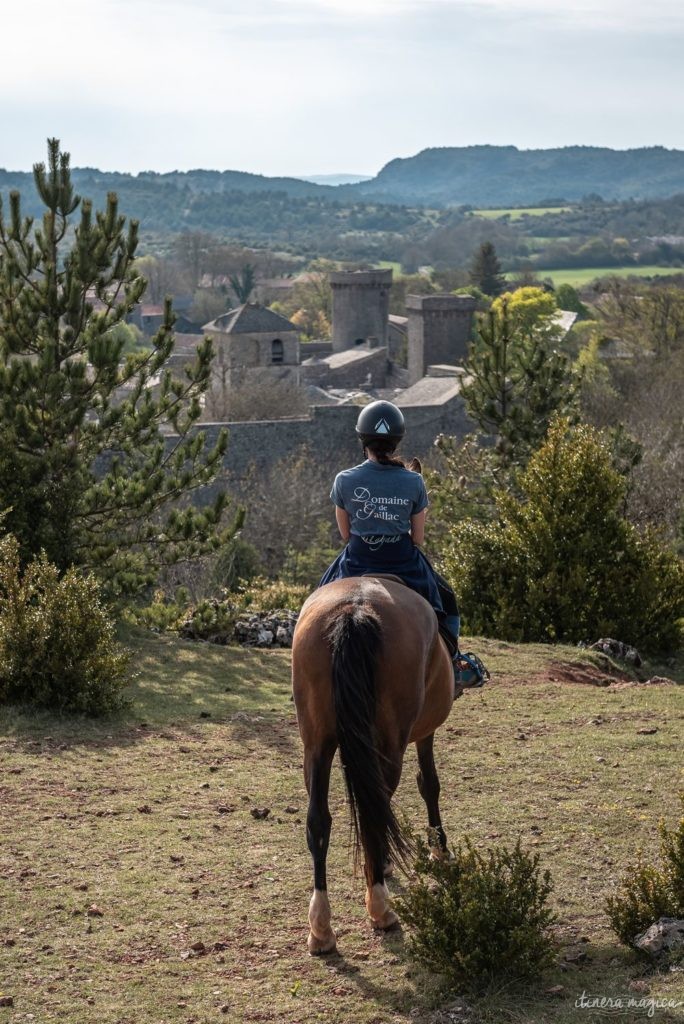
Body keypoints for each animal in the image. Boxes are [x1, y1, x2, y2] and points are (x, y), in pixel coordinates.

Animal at [290, 573, 454, 954]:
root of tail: (355, 609)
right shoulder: (425, 731)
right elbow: (429, 784)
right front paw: (438, 848)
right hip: (388, 740)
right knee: (374, 809)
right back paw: (380, 906)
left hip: (316, 743)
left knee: (319, 821)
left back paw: (321, 929)